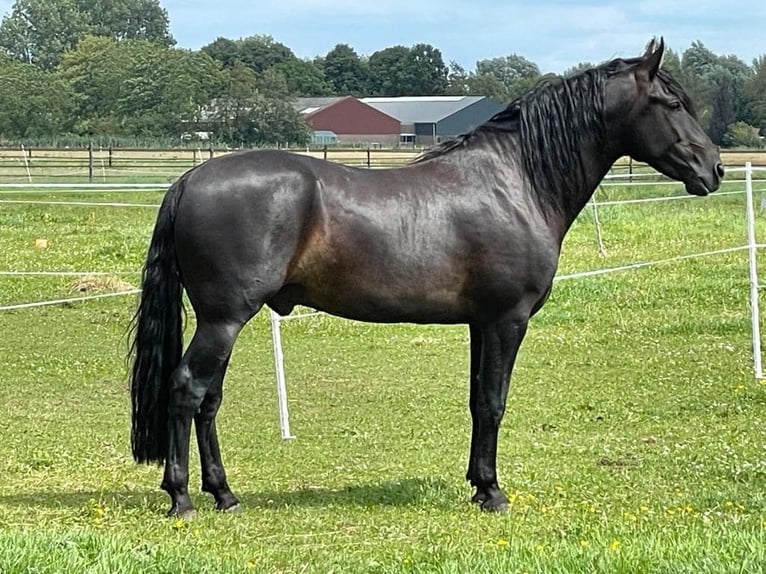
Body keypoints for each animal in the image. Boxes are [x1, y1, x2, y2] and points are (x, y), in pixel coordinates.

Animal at [130, 38, 728, 520]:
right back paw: (182, 498)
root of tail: (190, 178)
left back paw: (224, 494)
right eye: (672, 103)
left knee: (209, 400)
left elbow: (477, 400)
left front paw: (478, 484)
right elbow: (494, 401)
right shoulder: (507, 320)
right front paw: (493, 493)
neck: (516, 181)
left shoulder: (480, 324)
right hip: (224, 319)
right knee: (188, 390)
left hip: (223, 322)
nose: (715, 169)